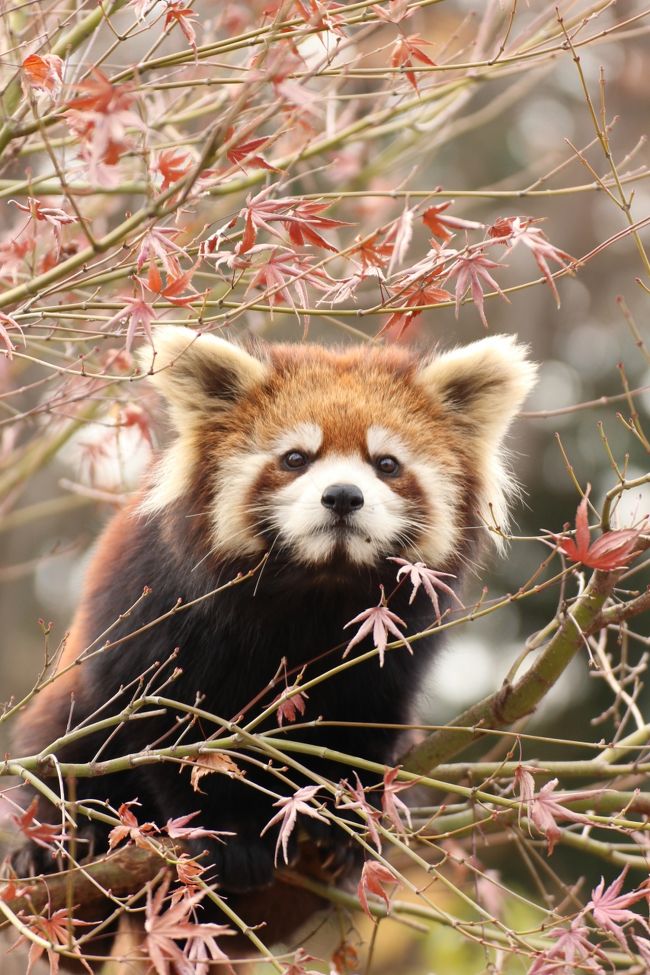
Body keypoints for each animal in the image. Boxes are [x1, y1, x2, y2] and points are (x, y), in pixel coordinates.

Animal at [11, 332, 536, 956]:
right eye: (295, 458)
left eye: (386, 464)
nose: (342, 496)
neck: (317, 586)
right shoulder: (159, 616)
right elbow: (173, 734)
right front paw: (228, 834)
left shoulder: (395, 640)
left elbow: (364, 724)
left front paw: (344, 816)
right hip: (70, 714)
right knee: (67, 747)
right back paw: (57, 845)